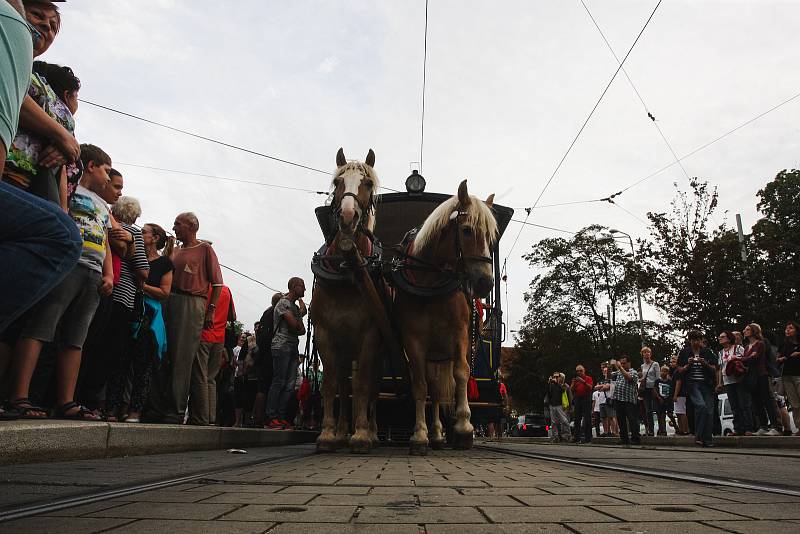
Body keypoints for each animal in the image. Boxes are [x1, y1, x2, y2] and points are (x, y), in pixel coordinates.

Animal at [392, 181, 496, 456]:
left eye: (491, 237)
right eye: (467, 230)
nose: (486, 282)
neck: (429, 283)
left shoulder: (459, 335)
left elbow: (462, 374)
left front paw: (464, 427)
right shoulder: (414, 341)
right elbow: (420, 386)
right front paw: (419, 435)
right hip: (433, 355)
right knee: (435, 390)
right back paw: (436, 434)